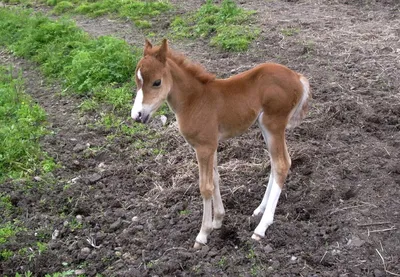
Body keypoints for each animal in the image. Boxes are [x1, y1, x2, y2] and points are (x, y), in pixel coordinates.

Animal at [131, 38, 310, 248]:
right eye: (137, 81)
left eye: (157, 82)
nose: (137, 115)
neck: (194, 100)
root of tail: (297, 77)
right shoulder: (212, 145)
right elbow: (215, 179)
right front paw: (218, 220)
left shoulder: (204, 147)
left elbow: (205, 187)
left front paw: (202, 234)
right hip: (264, 125)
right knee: (275, 163)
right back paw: (259, 209)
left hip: (273, 124)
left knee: (282, 164)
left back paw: (261, 228)